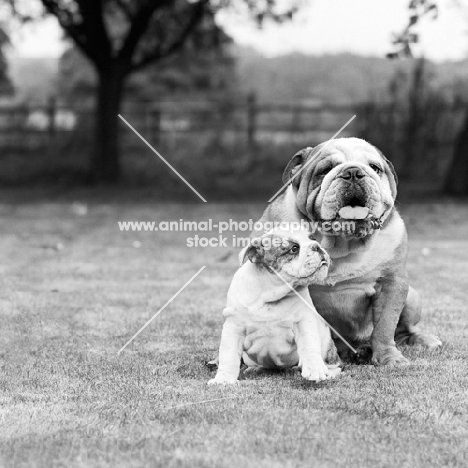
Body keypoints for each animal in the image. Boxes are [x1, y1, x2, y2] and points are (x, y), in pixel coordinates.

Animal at [208, 227, 340, 384]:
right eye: (294, 248)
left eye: (313, 238)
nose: (317, 246)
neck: (270, 294)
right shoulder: (234, 326)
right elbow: (228, 355)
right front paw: (223, 379)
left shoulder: (304, 321)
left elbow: (310, 345)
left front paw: (315, 370)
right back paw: (255, 369)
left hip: (326, 343)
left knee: (334, 364)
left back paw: (327, 372)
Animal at [256, 137, 442, 368]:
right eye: (324, 170)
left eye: (375, 168)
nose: (353, 172)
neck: (342, 243)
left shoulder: (393, 283)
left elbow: (385, 326)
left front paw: (389, 358)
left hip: (412, 296)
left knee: (403, 331)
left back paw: (421, 340)